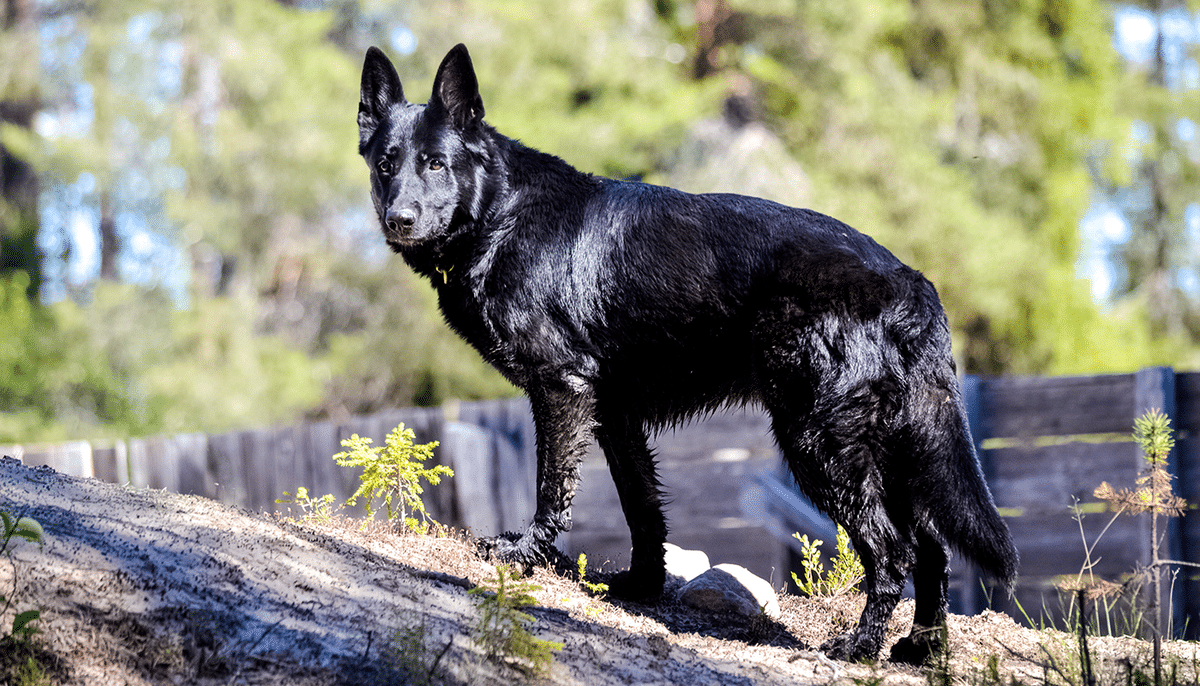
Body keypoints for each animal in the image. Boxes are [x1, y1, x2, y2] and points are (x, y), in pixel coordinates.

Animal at [357, 44, 1022, 666]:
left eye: (436, 163)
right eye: (387, 164)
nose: (398, 219)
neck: (500, 214)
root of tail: (911, 281)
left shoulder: (560, 391)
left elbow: (553, 488)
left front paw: (524, 555)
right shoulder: (614, 415)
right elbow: (642, 507)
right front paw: (643, 586)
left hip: (819, 446)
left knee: (894, 551)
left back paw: (858, 649)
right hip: (890, 453)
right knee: (933, 549)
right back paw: (923, 650)